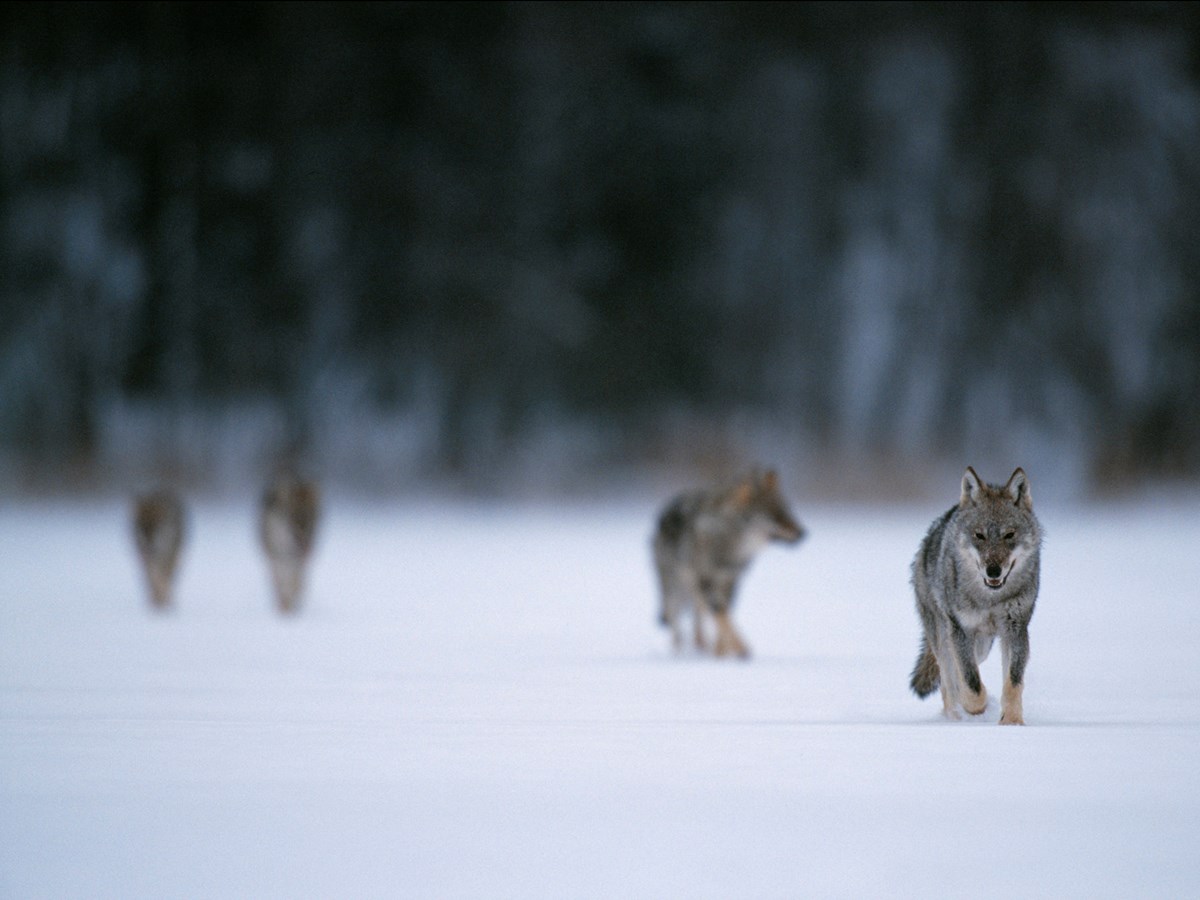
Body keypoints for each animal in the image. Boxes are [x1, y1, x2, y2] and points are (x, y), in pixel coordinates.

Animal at [259, 475, 321, 619]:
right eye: (292, 520)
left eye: (310, 522)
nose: (306, 548)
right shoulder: (277, 562)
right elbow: (282, 588)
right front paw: (285, 611)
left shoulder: (299, 564)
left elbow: (295, 585)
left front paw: (292, 610)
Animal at [652, 472, 811, 657]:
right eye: (775, 515)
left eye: (788, 511)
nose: (803, 533)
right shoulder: (706, 581)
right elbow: (722, 616)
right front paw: (741, 650)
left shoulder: (731, 581)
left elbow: (725, 618)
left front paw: (722, 652)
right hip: (676, 592)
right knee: (677, 627)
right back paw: (680, 654)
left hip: (695, 593)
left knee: (698, 620)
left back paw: (702, 647)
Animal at [907, 468, 1041, 729]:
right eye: (979, 535)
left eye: (1009, 535)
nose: (993, 571)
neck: (990, 598)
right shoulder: (961, 629)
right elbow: (971, 684)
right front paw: (977, 707)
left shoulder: (1016, 629)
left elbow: (1013, 682)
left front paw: (1012, 722)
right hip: (946, 636)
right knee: (949, 679)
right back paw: (955, 716)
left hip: (983, 646)